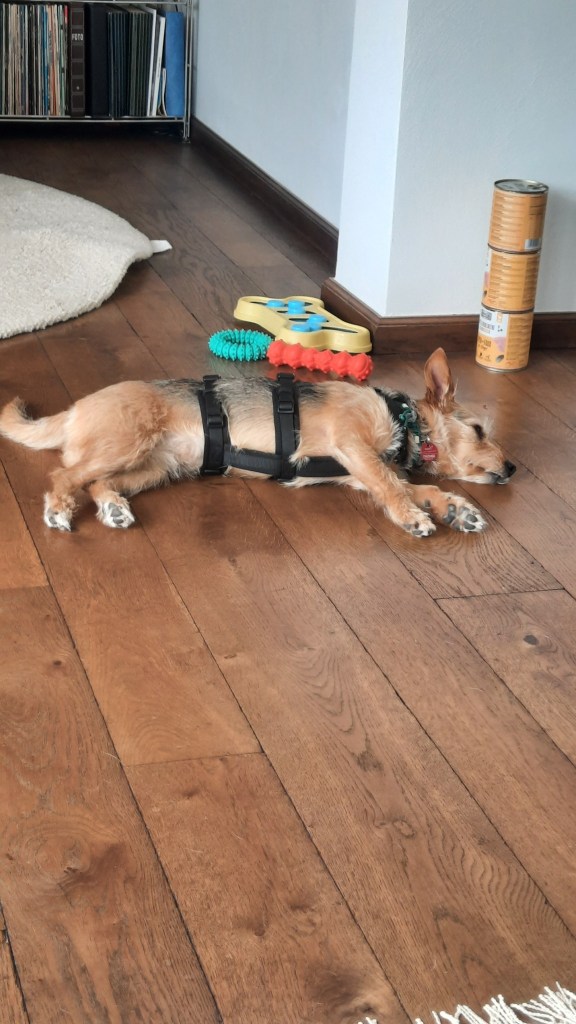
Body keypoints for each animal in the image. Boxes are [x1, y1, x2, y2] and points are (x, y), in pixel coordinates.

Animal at [0, 348, 515, 538]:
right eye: (479, 430)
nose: (512, 469)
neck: (401, 419)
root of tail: (75, 409)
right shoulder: (353, 444)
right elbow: (394, 486)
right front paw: (413, 517)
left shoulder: (355, 469)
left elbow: (413, 486)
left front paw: (452, 508)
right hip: (126, 442)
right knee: (64, 473)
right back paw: (58, 509)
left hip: (154, 466)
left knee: (97, 482)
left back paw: (112, 507)